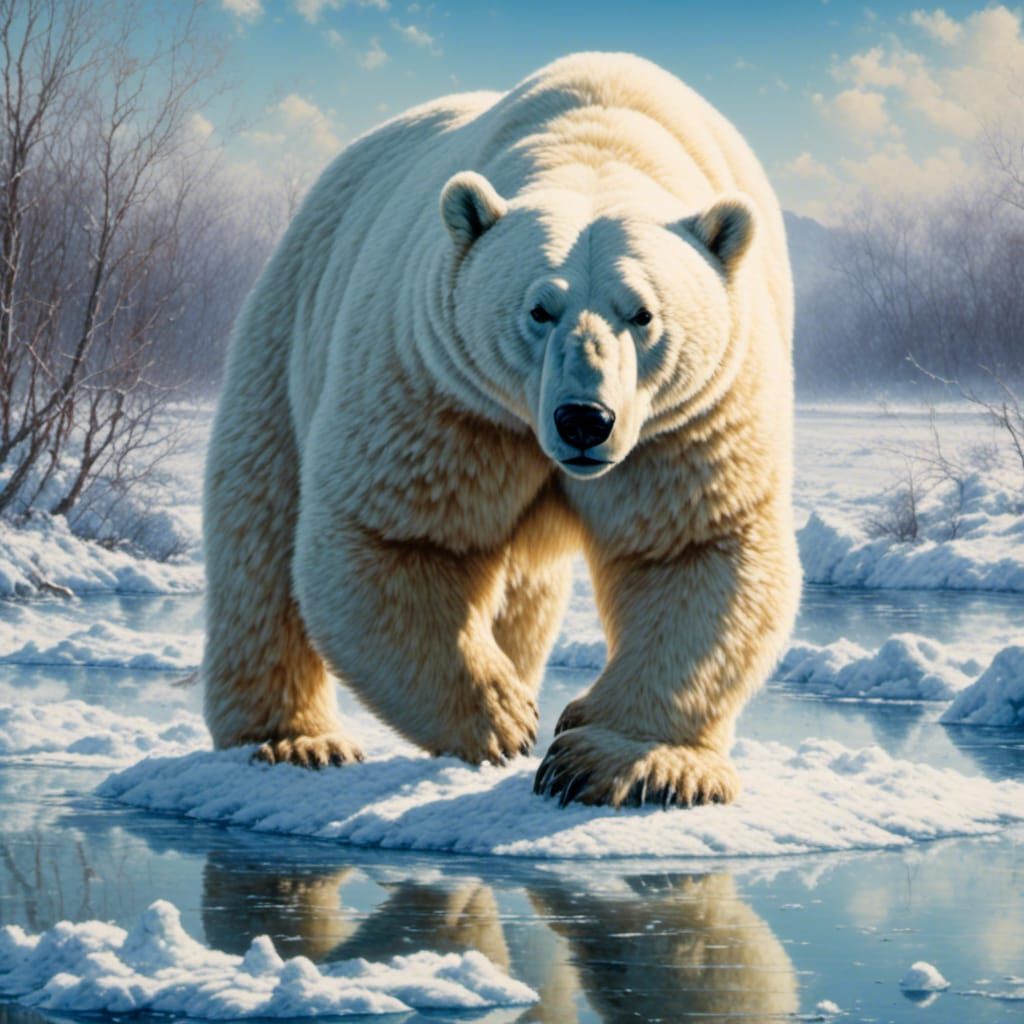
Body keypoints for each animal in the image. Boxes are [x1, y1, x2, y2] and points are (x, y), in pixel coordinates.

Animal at [201, 51, 801, 808]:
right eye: (539, 309)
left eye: (642, 312)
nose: (584, 419)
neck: (599, 137)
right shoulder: (446, 388)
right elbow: (397, 537)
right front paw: (504, 719)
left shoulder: (690, 419)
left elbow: (695, 548)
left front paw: (619, 762)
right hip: (290, 324)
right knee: (261, 526)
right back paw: (297, 741)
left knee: (524, 589)